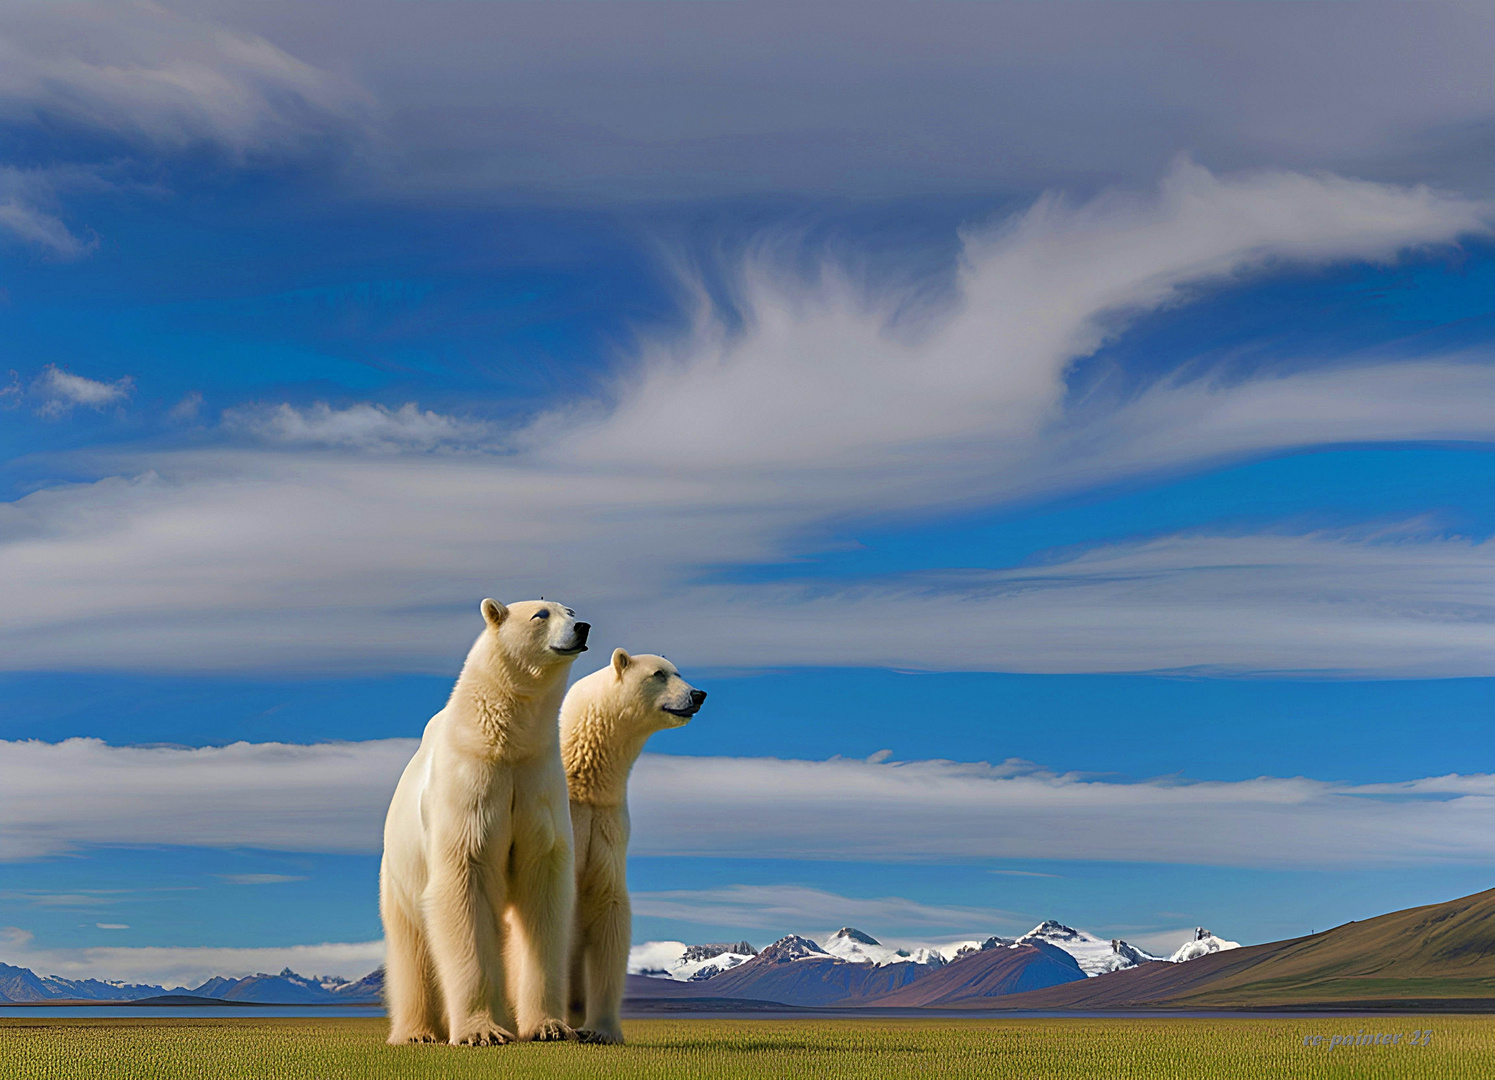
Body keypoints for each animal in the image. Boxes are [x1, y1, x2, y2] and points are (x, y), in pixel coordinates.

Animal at [379, 598, 589, 1041]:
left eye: (569, 609)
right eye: (540, 614)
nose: (582, 627)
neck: (506, 743)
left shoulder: (536, 778)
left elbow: (542, 892)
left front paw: (550, 1027)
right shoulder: (472, 784)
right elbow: (466, 882)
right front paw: (482, 1032)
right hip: (400, 875)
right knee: (412, 946)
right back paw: (417, 1031)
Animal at [562, 643, 705, 1041]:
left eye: (678, 671)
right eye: (659, 674)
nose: (698, 695)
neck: (583, 783)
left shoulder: (607, 823)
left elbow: (609, 907)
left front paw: (601, 1030)